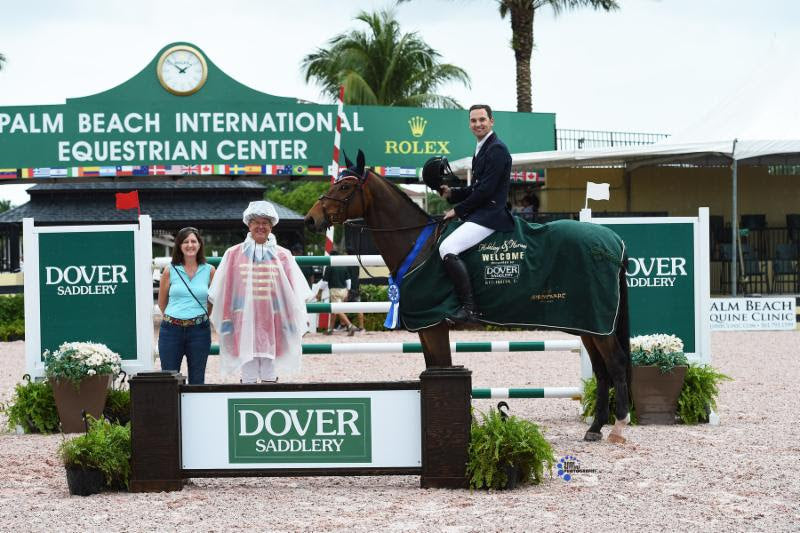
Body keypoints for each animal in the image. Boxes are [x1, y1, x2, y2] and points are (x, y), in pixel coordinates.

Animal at [304, 151, 632, 444]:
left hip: (599, 325)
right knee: (601, 370)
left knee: (615, 364)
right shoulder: (426, 327)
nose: (310, 219)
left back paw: (619, 426)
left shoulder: (434, 325)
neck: (416, 245)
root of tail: (613, 240)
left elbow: (443, 367)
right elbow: (434, 368)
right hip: (587, 322)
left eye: (344, 187)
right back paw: (595, 427)